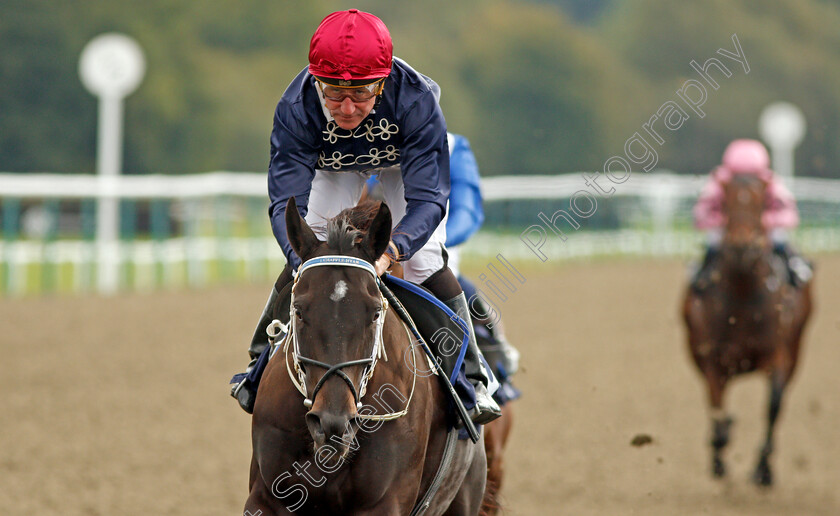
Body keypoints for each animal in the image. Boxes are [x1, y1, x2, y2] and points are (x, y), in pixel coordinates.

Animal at [684, 139, 812, 486]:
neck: (742, 297)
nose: (743, 246)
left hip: (796, 348)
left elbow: (773, 406)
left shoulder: (778, 354)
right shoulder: (712, 359)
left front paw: (763, 470)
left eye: (761, 203)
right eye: (726, 203)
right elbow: (718, 413)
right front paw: (719, 458)